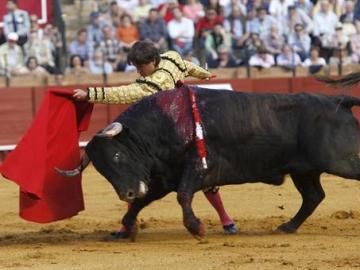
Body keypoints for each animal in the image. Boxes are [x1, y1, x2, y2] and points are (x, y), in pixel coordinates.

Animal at [62, 86, 360, 238]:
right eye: (102, 171)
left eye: (117, 155)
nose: (127, 192)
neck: (163, 124)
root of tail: (338, 100)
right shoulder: (163, 178)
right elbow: (142, 204)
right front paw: (128, 227)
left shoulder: (198, 167)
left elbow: (183, 195)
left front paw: (196, 228)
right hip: (304, 171)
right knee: (313, 196)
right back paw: (287, 227)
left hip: (343, 161)